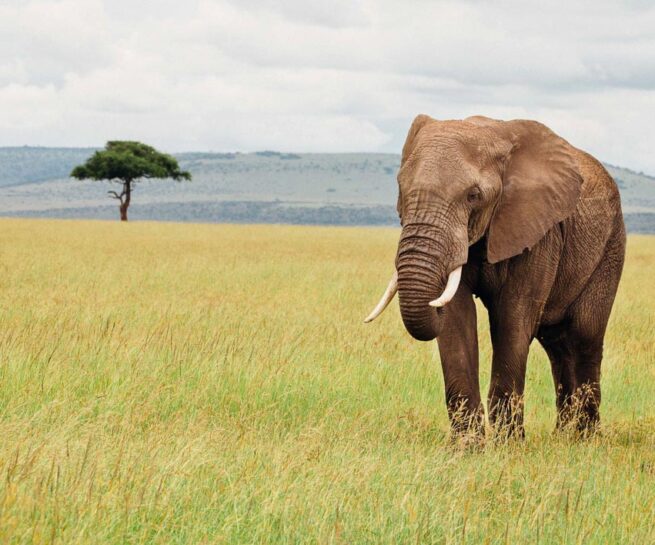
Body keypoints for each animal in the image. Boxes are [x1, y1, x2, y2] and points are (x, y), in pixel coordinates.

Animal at [365, 115, 625, 439]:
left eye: (473, 195)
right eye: (401, 189)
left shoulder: (539, 231)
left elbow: (513, 317)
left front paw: (508, 446)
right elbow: (457, 318)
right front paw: (467, 447)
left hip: (610, 247)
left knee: (584, 335)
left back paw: (584, 440)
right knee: (557, 343)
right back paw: (563, 438)